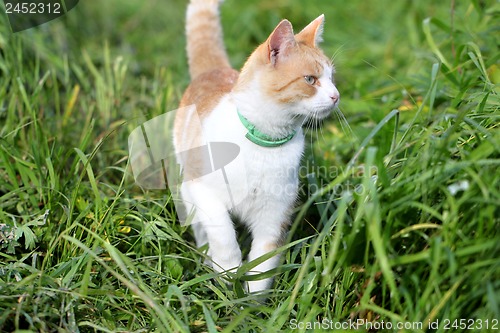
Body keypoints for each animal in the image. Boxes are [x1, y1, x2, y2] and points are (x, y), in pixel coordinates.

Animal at [173, 0, 340, 292]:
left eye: (332, 78)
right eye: (310, 80)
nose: (336, 96)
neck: (265, 142)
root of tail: (213, 71)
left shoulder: (274, 214)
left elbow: (263, 263)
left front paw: (250, 300)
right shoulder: (204, 191)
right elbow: (223, 234)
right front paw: (227, 273)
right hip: (188, 188)